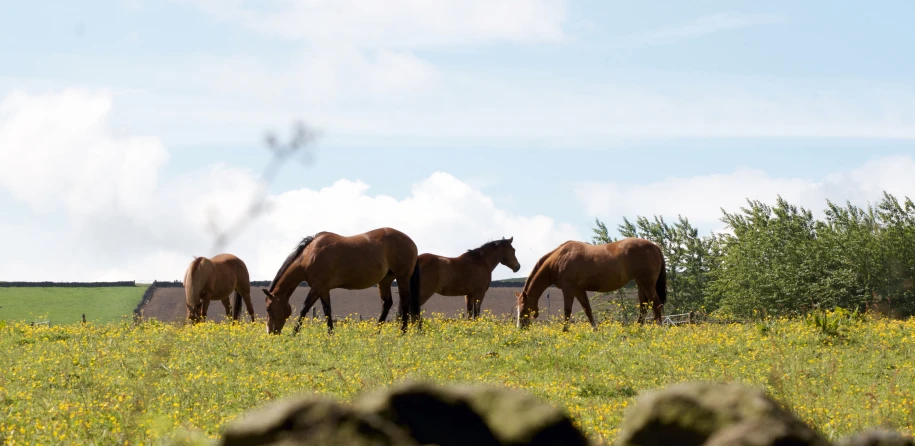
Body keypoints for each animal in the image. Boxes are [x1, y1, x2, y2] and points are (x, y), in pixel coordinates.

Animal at [262, 226, 424, 334]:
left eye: (268, 308)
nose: (270, 332)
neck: (309, 255)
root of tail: (411, 242)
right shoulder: (323, 289)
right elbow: (327, 310)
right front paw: (331, 335)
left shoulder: (317, 287)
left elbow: (304, 308)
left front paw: (294, 334)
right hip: (385, 280)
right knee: (387, 304)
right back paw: (375, 333)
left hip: (402, 278)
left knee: (405, 303)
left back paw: (402, 333)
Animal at [516, 237, 664, 332]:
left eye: (523, 308)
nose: (520, 328)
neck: (558, 259)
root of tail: (655, 246)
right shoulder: (579, 290)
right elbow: (587, 309)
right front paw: (595, 329)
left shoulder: (568, 289)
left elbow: (567, 310)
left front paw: (565, 330)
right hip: (641, 283)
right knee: (644, 305)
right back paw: (638, 327)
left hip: (647, 283)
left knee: (656, 304)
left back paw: (658, 327)